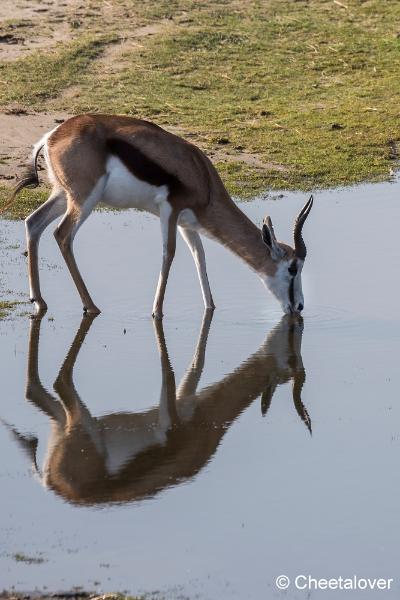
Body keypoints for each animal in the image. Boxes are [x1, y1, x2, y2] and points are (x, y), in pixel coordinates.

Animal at [1, 312, 310, 504]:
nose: (297, 313)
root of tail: (51, 483)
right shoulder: (175, 409)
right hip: (80, 422)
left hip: (62, 424)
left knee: (37, 392)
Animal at [10, 113, 312, 318]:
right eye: (292, 268)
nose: (298, 306)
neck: (203, 180)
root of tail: (52, 136)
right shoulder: (170, 211)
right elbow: (169, 254)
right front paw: (156, 311)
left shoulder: (188, 223)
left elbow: (199, 258)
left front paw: (211, 307)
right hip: (84, 200)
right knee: (62, 235)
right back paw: (91, 306)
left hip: (63, 195)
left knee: (33, 222)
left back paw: (39, 301)